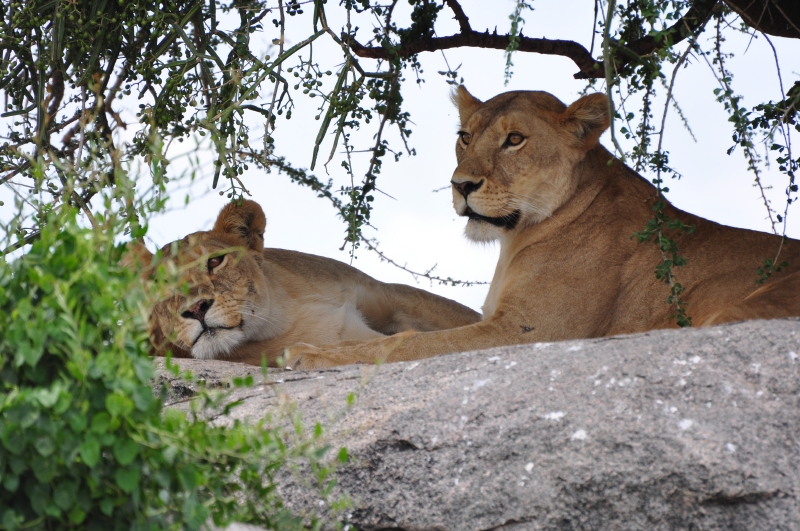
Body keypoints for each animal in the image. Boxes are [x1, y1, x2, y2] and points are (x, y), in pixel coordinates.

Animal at [283, 86, 800, 370]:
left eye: (515, 139)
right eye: (465, 137)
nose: (460, 185)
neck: (516, 237)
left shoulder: (531, 332)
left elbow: (407, 344)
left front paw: (312, 353)